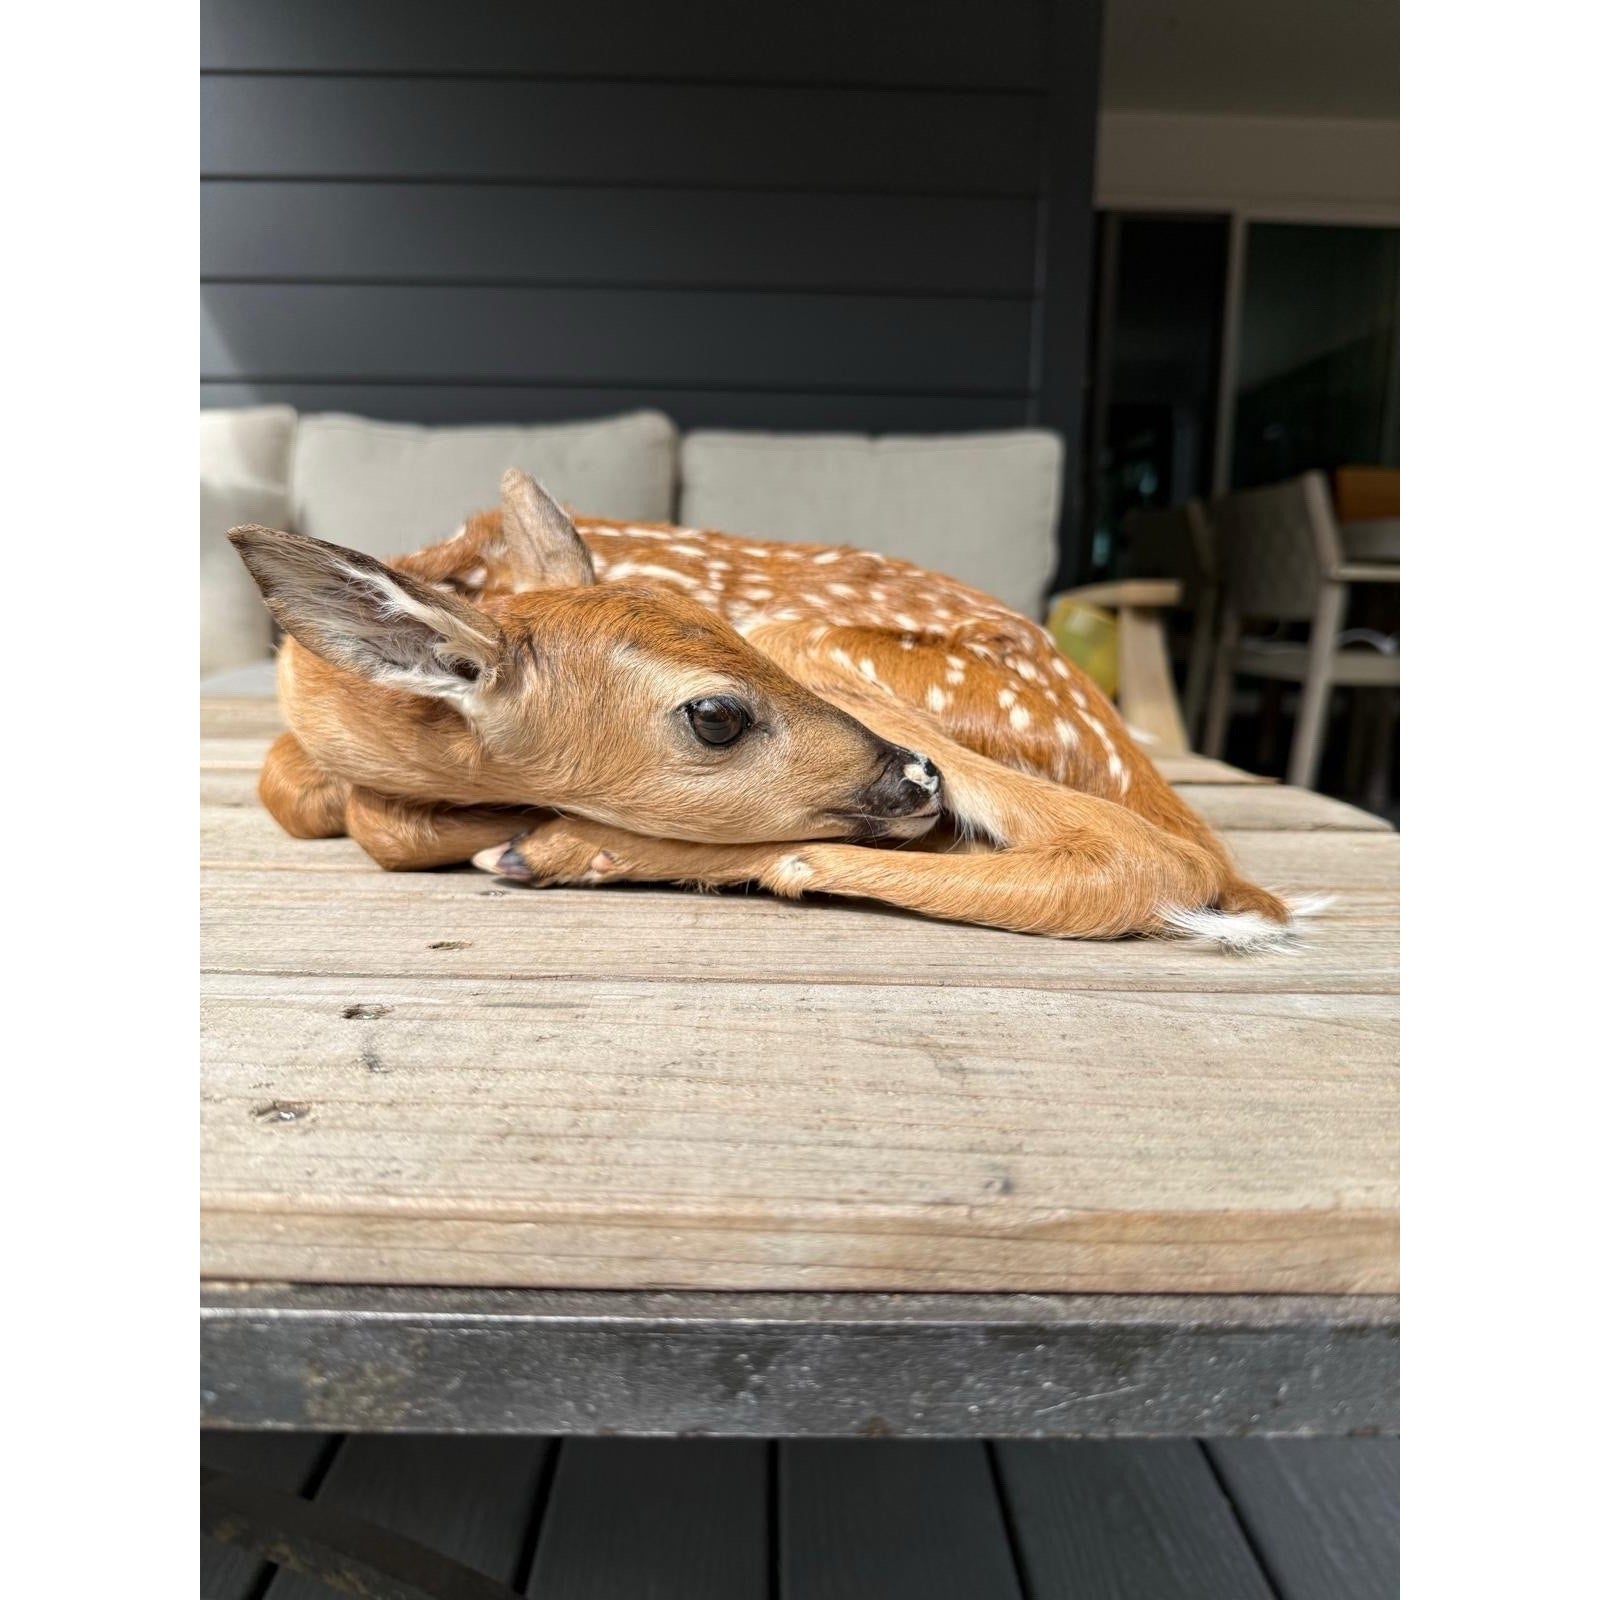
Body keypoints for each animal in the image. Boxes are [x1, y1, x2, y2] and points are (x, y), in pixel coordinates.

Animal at [229, 469, 1314, 949]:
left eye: (728, 634)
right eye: (715, 715)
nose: (914, 777)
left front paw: (513, 825)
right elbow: (297, 790)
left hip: (818, 637)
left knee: (1148, 858)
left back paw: (568, 848)